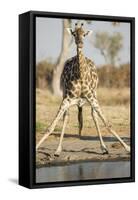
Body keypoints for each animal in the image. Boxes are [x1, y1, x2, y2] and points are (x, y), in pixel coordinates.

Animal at [35, 22, 130, 156]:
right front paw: (39, 148)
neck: (80, 75)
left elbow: (108, 124)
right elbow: (51, 127)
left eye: (84, 34)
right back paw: (58, 150)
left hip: (94, 94)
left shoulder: (92, 98)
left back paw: (104, 148)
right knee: (66, 117)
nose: (80, 43)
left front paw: (127, 148)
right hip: (65, 95)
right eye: (74, 34)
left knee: (94, 116)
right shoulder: (67, 99)